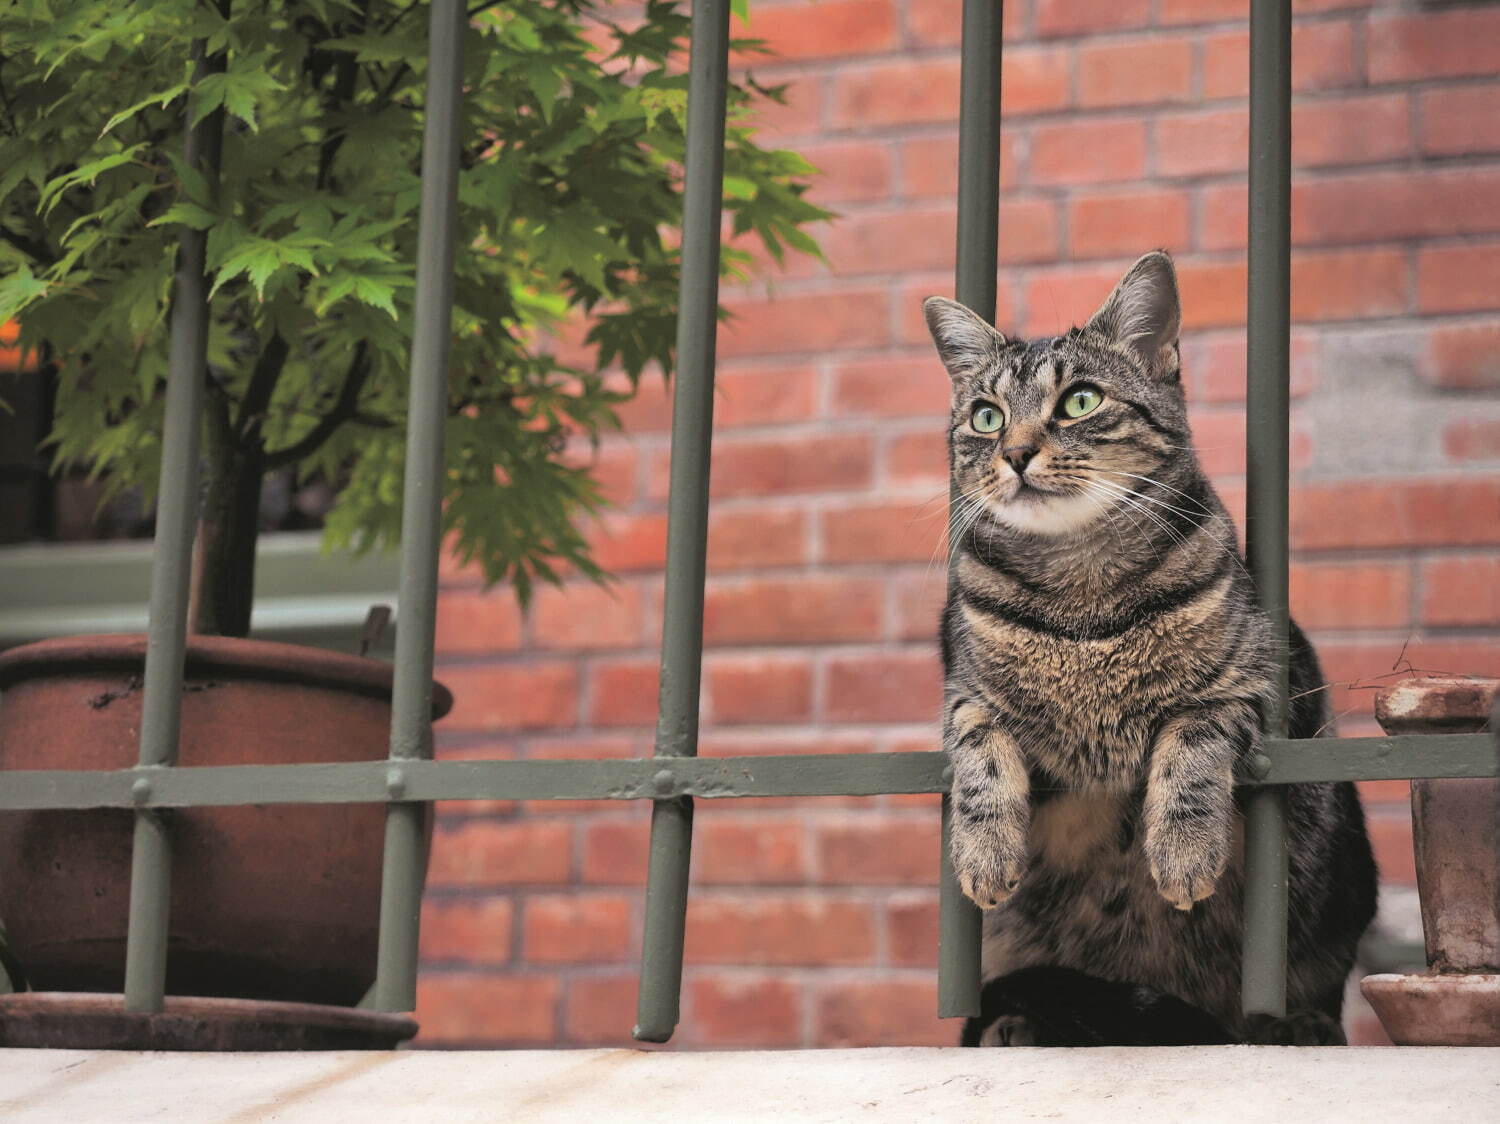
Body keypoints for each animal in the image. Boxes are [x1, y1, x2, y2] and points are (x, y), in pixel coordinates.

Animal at [930, 252, 1374, 1044]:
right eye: (986, 416)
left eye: (1078, 401)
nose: (1014, 453)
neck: (1081, 598)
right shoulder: (963, 696)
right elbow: (981, 752)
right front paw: (984, 856)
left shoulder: (1253, 690)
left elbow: (1189, 745)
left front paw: (1183, 854)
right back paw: (1017, 1026)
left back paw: (1296, 1027)